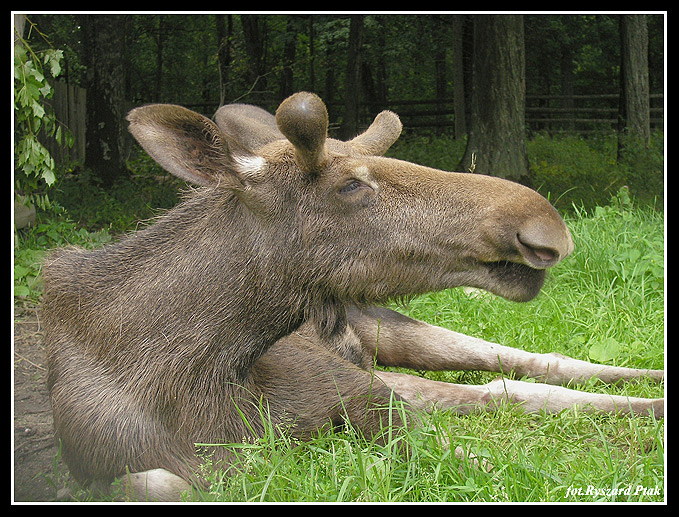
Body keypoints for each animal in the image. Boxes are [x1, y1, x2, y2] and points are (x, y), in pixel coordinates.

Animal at [43, 92, 664, 500]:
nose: (544, 225)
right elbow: (159, 480)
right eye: (348, 186)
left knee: (527, 366)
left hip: (387, 328)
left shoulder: (364, 396)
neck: (200, 381)